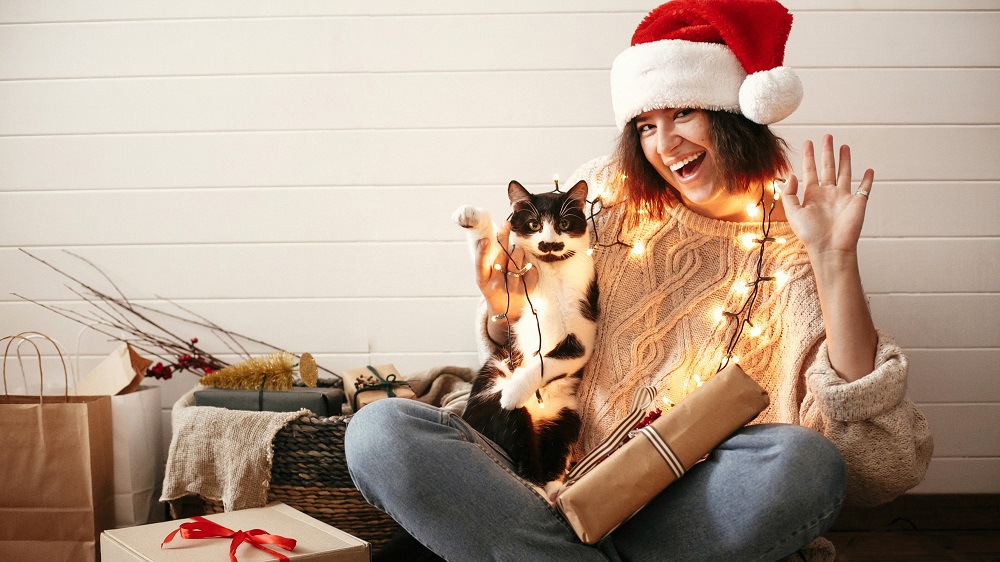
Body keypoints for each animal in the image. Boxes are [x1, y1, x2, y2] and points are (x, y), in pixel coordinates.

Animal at [456, 179, 596, 490]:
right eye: (534, 224)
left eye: (565, 223)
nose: (550, 243)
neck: (553, 269)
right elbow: (492, 253)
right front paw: (473, 217)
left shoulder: (582, 335)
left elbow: (549, 362)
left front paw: (515, 390)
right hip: (492, 399)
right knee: (522, 448)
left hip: (567, 415)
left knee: (551, 457)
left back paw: (552, 490)